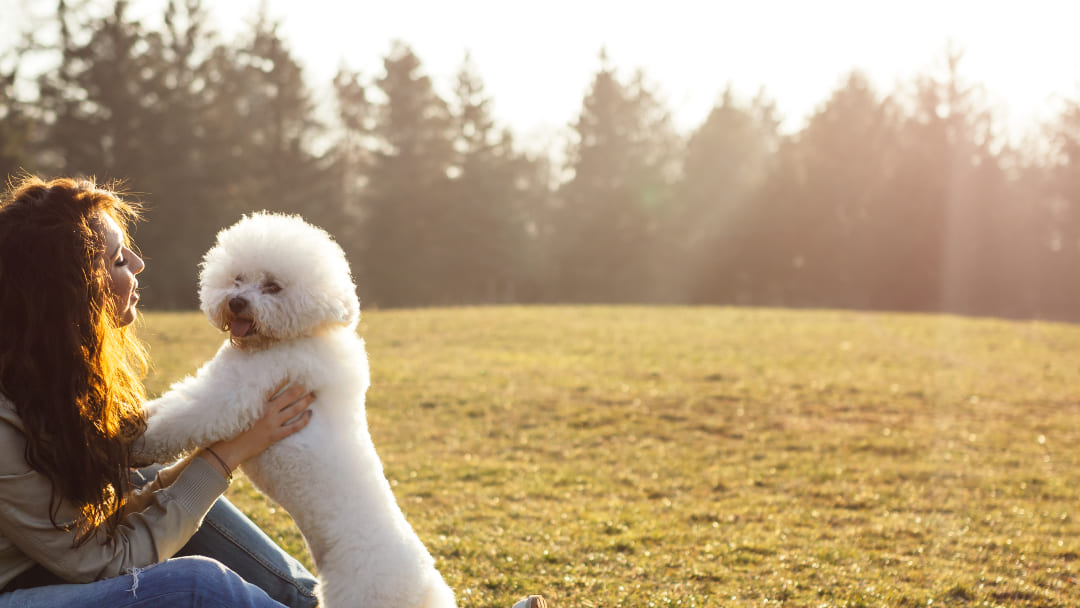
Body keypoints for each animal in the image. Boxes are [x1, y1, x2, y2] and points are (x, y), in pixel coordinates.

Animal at [135, 212, 455, 608]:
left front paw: (133, 444)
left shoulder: (231, 397)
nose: (236, 302)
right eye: (237, 278)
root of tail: (427, 591)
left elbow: (181, 419)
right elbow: (170, 405)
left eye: (273, 286)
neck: (294, 337)